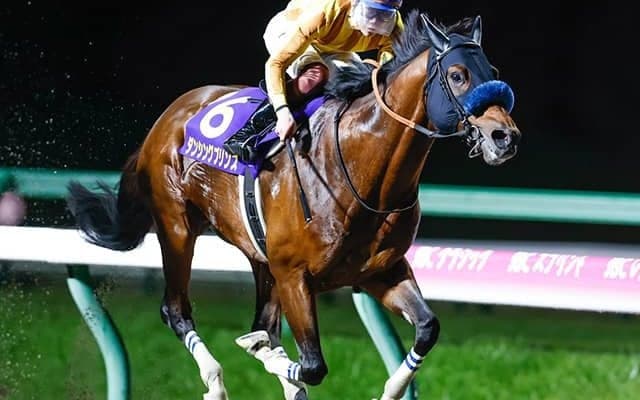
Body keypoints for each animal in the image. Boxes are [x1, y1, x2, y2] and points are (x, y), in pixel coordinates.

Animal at [66, 10, 521, 400]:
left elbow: (428, 327)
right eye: (458, 75)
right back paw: (215, 380)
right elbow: (313, 365)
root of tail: (168, 117)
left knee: (260, 321)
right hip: (177, 227)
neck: (360, 169)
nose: (505, 137)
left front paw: (390, 388)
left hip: (259, 256)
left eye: (494, 74)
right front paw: (264, 355)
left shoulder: (380, 271)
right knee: (175, 309)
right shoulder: (295, 276)